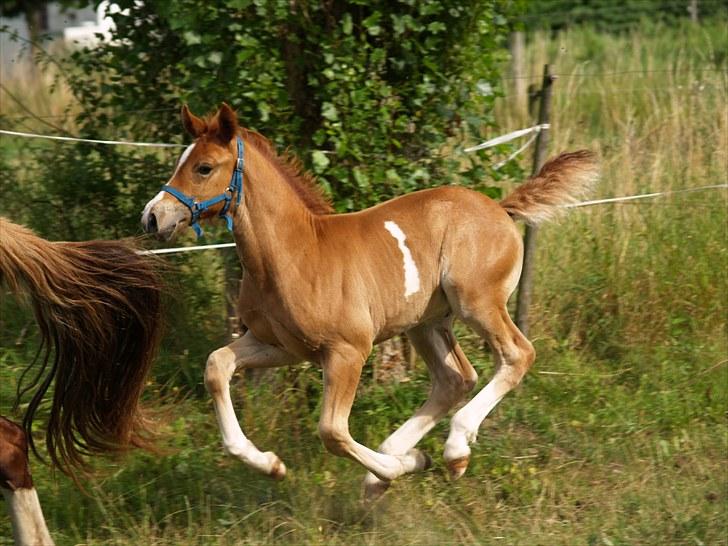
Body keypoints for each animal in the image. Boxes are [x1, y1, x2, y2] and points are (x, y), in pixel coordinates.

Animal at [142, 103, 596, 498]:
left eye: (203, 167)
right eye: (180, 160)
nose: (152, 216)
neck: (295, 254)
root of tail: (501, 209)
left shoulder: (348, 351)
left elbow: (332, 431)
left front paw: (402, 467)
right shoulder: (281, 346)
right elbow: (217, 366)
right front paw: (270, 465)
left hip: (477, 303)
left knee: (517, 355)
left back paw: (451, 451)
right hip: (426, 324)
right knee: (455, 378)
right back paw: (396, 462)